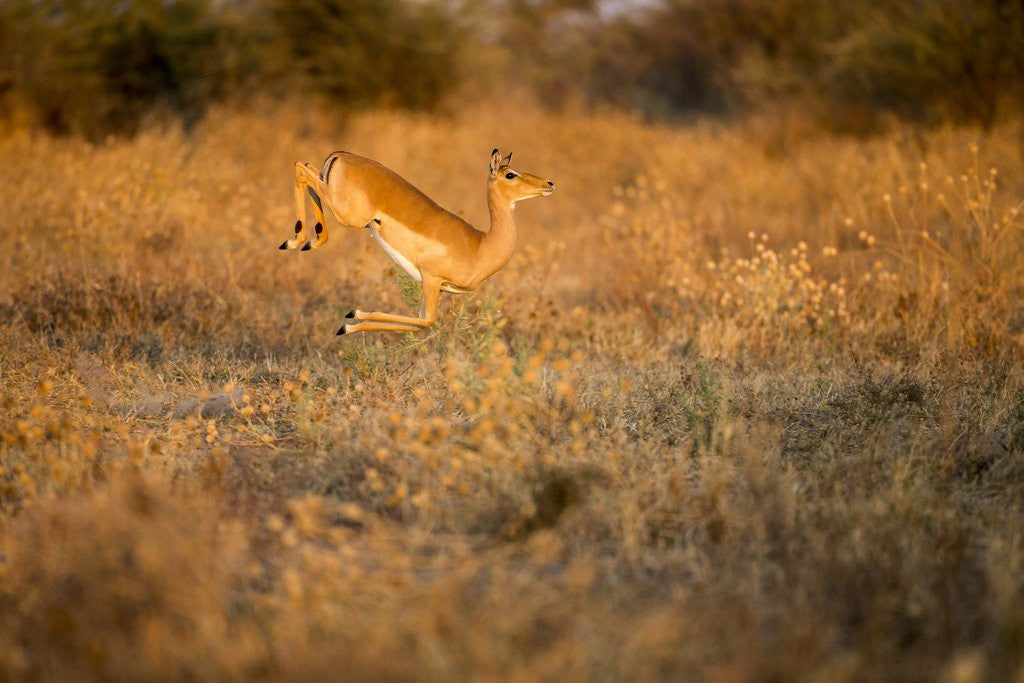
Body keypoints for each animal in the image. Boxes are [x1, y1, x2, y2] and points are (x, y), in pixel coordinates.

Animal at [279, 149, 555, 335]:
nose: (549, 183)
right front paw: (348, 323)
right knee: (299, 167)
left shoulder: (438, 288)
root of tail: (341, 154)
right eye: (510, 174)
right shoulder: (431, 279)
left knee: (306, 165)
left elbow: (421, 322)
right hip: (349, 216)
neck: (481, 245)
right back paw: (294, 241)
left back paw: (308, 241)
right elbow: (426, 321)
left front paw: (352, 316)